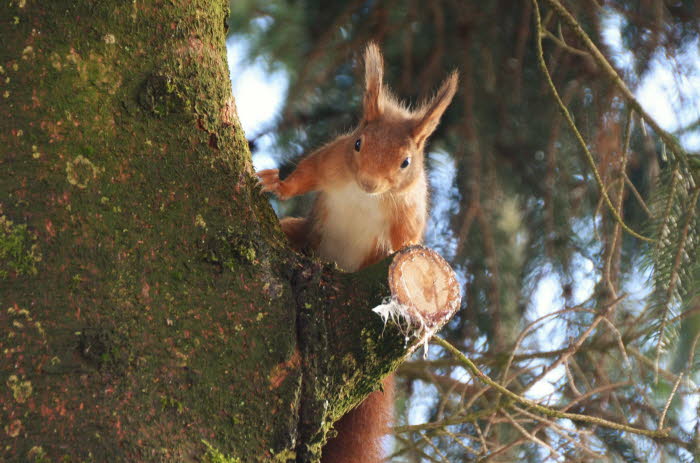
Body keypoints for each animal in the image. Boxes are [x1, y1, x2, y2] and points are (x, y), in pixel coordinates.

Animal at [254, 43, 456, 463]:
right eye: (358, 143)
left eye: (406, 162)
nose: (368, 182)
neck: (368, 198)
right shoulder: (331, 160)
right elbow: (304, 175)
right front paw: (277, 184)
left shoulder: (409, 211)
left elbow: (407, 239)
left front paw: (409, 251)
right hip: (304, 234)